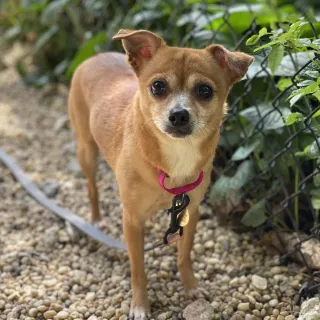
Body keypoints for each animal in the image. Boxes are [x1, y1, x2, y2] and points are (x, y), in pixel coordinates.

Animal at [69, 28, 254, 318]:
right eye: (158, 86)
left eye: (204, 90)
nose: (179, 115)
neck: (175, 158)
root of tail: (93, 56)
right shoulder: (132, 220)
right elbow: (138, 269)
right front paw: (140, 305)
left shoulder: (191, 212)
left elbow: (184, 255)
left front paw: (190, 287)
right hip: (86, 150)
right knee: (91, 187)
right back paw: (96, 219)